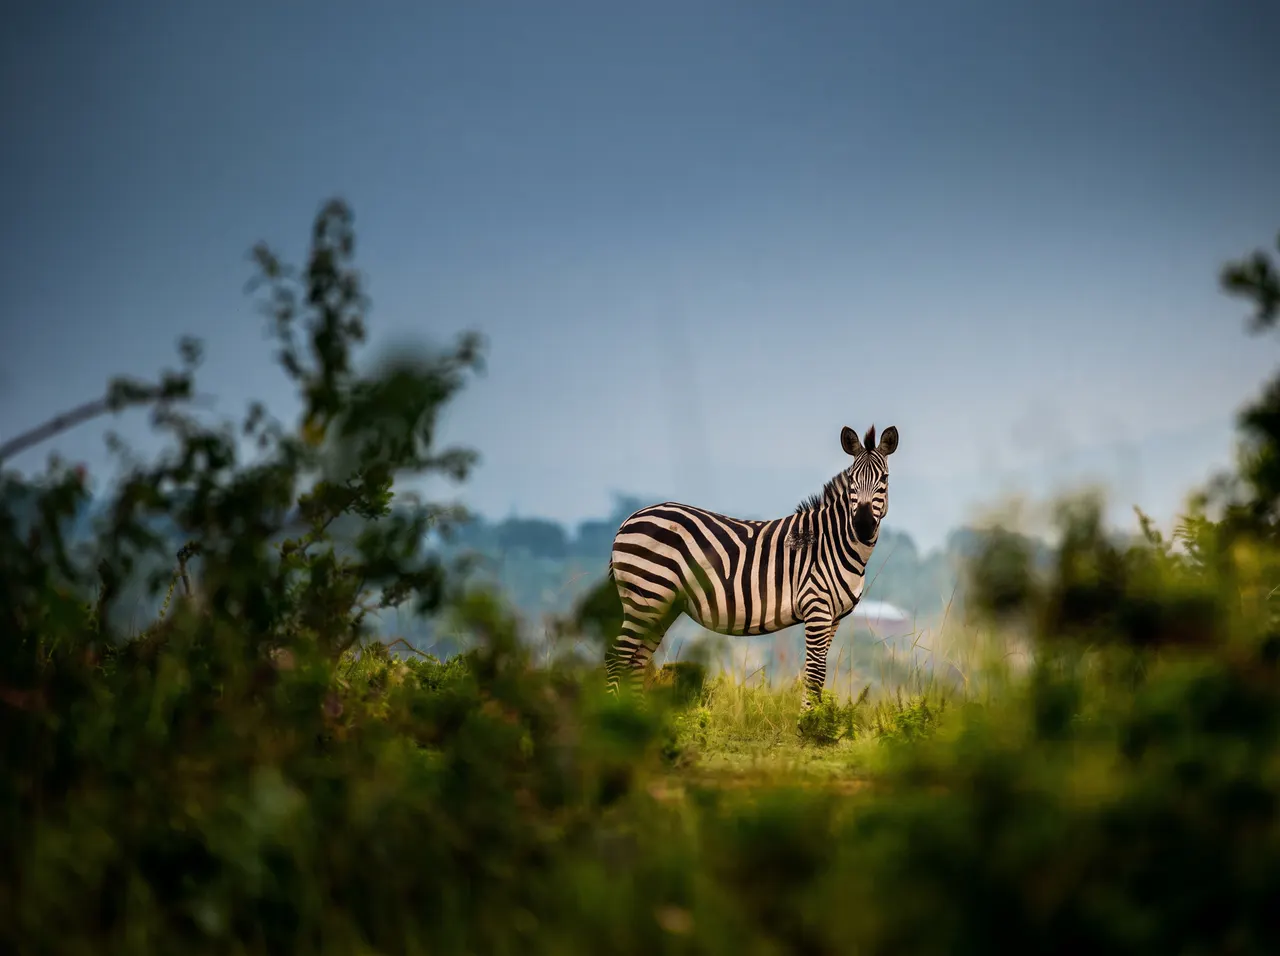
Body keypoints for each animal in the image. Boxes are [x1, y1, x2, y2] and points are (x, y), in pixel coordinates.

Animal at [605, 423, 898, 708]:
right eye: (852, 479)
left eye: (884, 479)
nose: (862, 525)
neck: (834, 542)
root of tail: (629, 519)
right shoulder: (816, 607)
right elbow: (815, 674)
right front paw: (808, 723)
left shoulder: (833, 616)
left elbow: (818, 674)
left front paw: (816, 720)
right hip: (646, 596)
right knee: (616, 657)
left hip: (661, 604)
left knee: (637, 660)